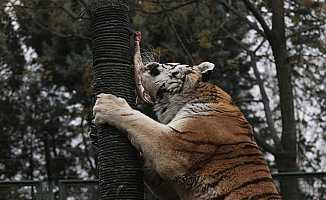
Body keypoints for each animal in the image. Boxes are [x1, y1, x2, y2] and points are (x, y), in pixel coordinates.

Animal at [93, 32, 282, 200]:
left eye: (173, 68)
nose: (152, 66)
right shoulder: (168, 186)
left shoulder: (174, 146)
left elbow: (140, 121)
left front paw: (107, 104)